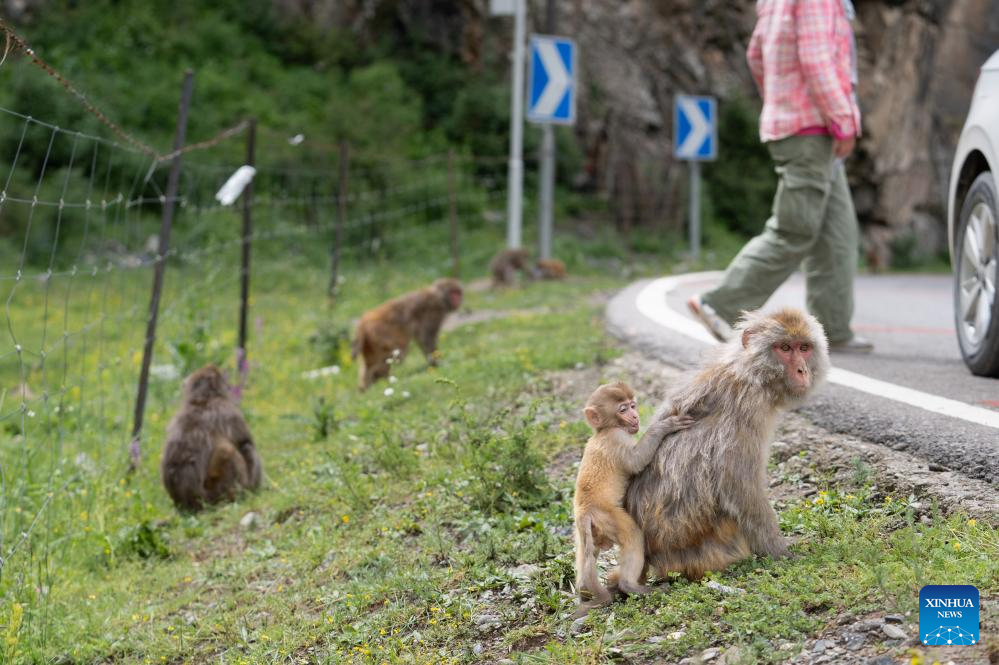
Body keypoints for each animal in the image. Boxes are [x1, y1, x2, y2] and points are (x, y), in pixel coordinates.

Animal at [160, 366, 262, 510]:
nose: (229, 387)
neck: (202, 400)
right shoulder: (228, 411)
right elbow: (245, 443)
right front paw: (254, 489)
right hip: (218, 492)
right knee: (231, 450)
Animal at [572, 382, 696, 616]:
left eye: (632, 405)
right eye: (622, 409)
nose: (635, 416)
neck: (603, 430)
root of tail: (585, 511)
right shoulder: (617, 438)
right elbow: (636, 460)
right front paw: (665, 426)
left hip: (588, 531)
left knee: (586, 553)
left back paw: (584, 589)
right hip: (607, 516)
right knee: (633, 535)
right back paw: (630, 585)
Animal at [624, 306, 828, 580]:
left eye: (804, 347)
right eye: (785, 348)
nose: (802, 371)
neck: (751, 373)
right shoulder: (749, 407)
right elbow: (739, 486)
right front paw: (781, 552)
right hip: (711, 546)